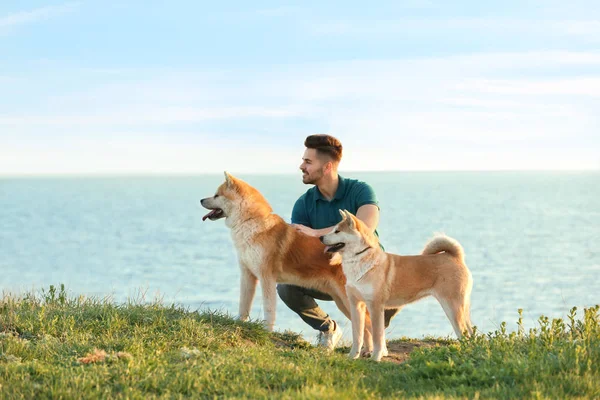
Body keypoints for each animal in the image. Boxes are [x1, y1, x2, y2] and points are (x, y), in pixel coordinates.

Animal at [199, 173, 372, 346]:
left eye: (216, 195)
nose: (201, 200)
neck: (250, 223)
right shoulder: (247, 275)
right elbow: (244, 304)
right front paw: (240, 323)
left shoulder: (266, 278)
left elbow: (268, 309)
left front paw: (266, 331)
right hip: (341, 300)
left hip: (347, 299)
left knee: (369, 326)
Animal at [322, 211, 472, 360]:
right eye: (333, 229)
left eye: (337, 231)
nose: (321, 237)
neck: (359, 262)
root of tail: (454, 257)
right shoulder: (356, 305)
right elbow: (357, 335)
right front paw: (353, 356)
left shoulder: (375, 306)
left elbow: (377, 336)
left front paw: (375, 357)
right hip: (460, 307)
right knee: (470, 331)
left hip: (452, 307)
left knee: (463, 332)